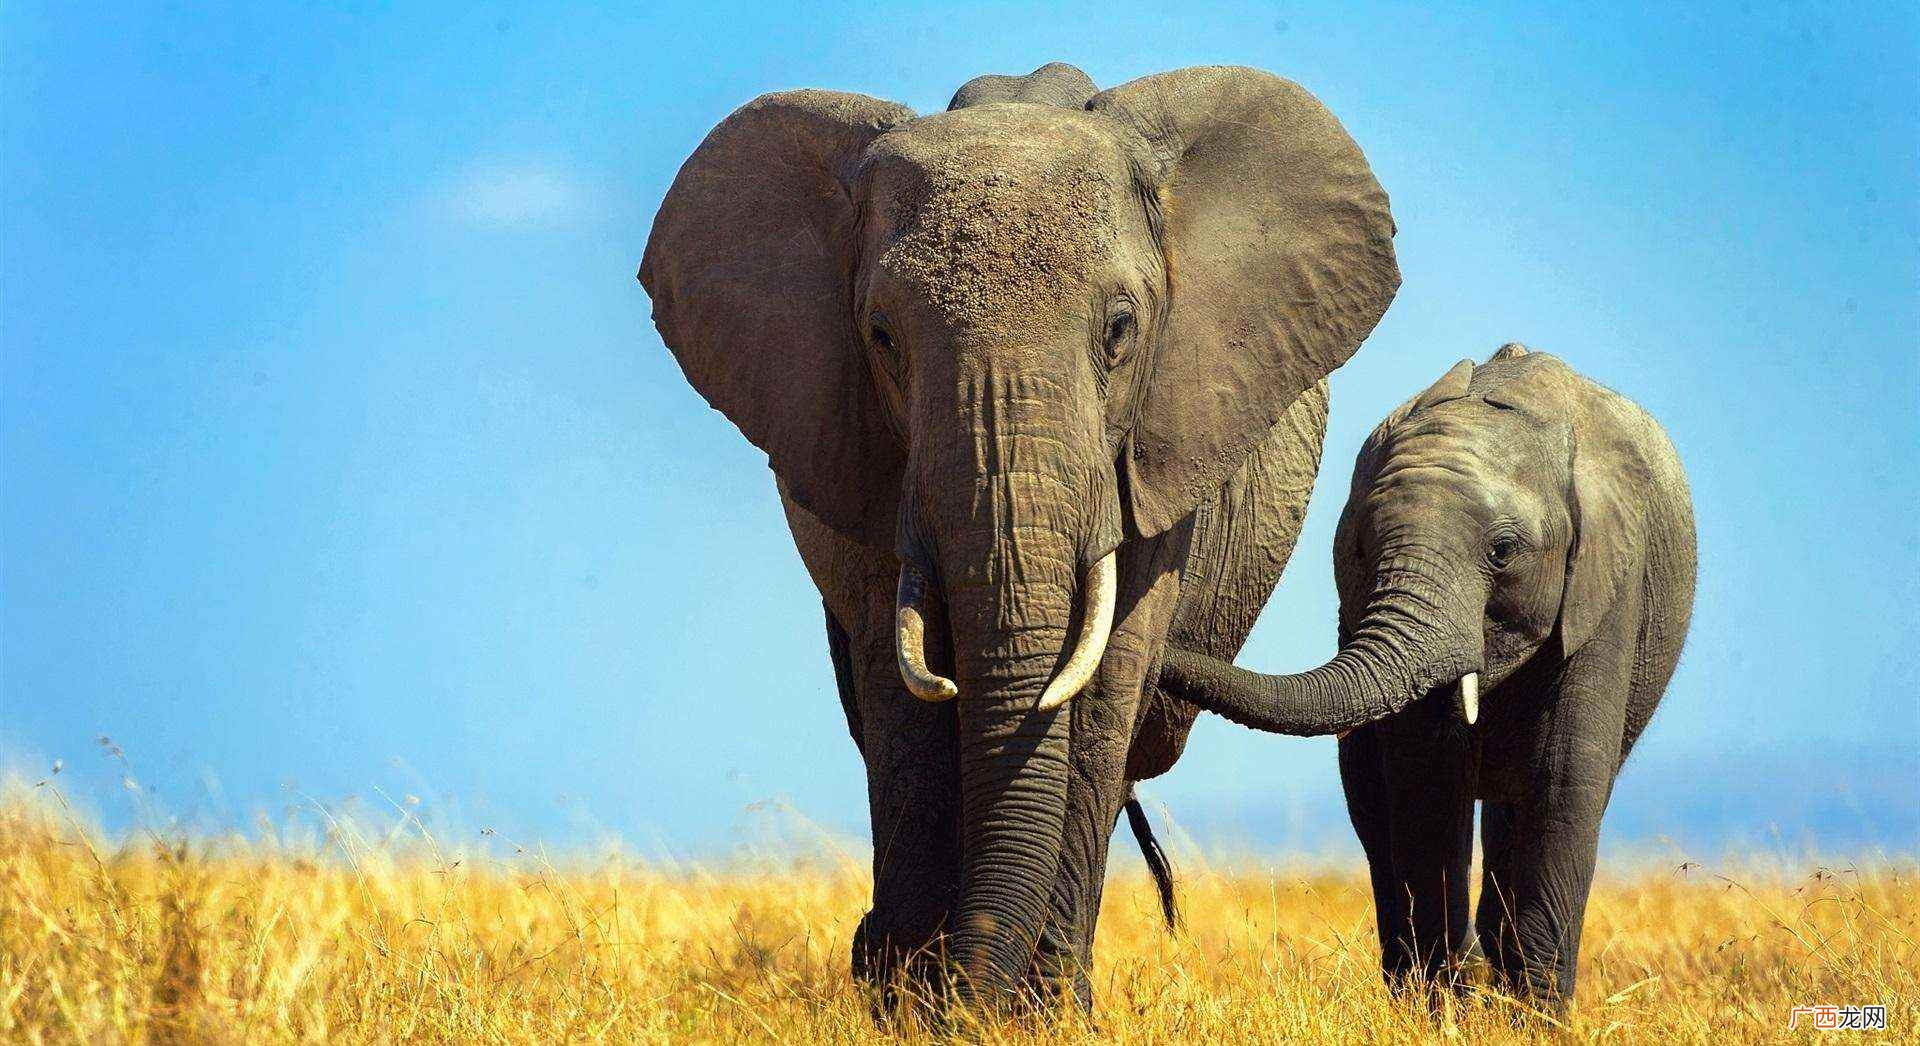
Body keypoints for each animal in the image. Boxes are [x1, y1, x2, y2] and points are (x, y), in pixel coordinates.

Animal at [637, 61, 1399, 1007]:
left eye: (1120, 331)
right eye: (882, 338)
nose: (960, 985)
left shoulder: (1161, 446)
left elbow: (1103, 683)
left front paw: (1034, 1010)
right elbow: (903, 693)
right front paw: (913, 1003)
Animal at [1158, 344, 1697, 1006]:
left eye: (1502, 551)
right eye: (1360, 547)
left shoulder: (1608, 584)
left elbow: (1563, 776)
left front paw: (1532, 1013)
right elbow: (1429, 776)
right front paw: (1446, 1003)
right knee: (1375, 808)